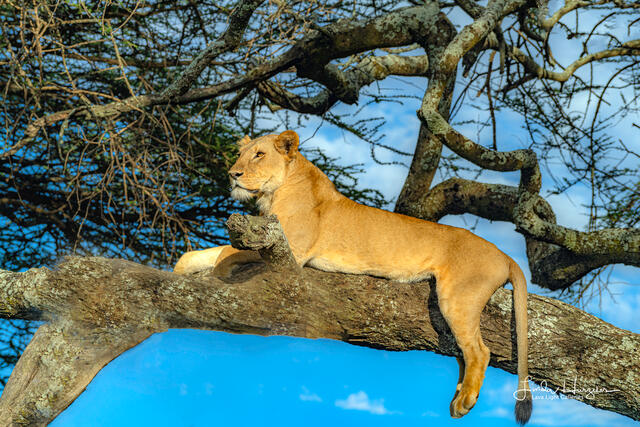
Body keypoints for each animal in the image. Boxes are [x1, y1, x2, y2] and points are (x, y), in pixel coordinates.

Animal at [174, 130, 532, 424]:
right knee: (463, 353)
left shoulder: (293, 249)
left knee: (479, 351)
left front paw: (217, 273)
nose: (232, 174)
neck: (275, 192)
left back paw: (465, 402)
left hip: (457, 296)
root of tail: (504, 254)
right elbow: (204, 252)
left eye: (259, 155)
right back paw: (457, 397)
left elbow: (226, 253)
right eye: (242, 154)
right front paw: (180, 270)